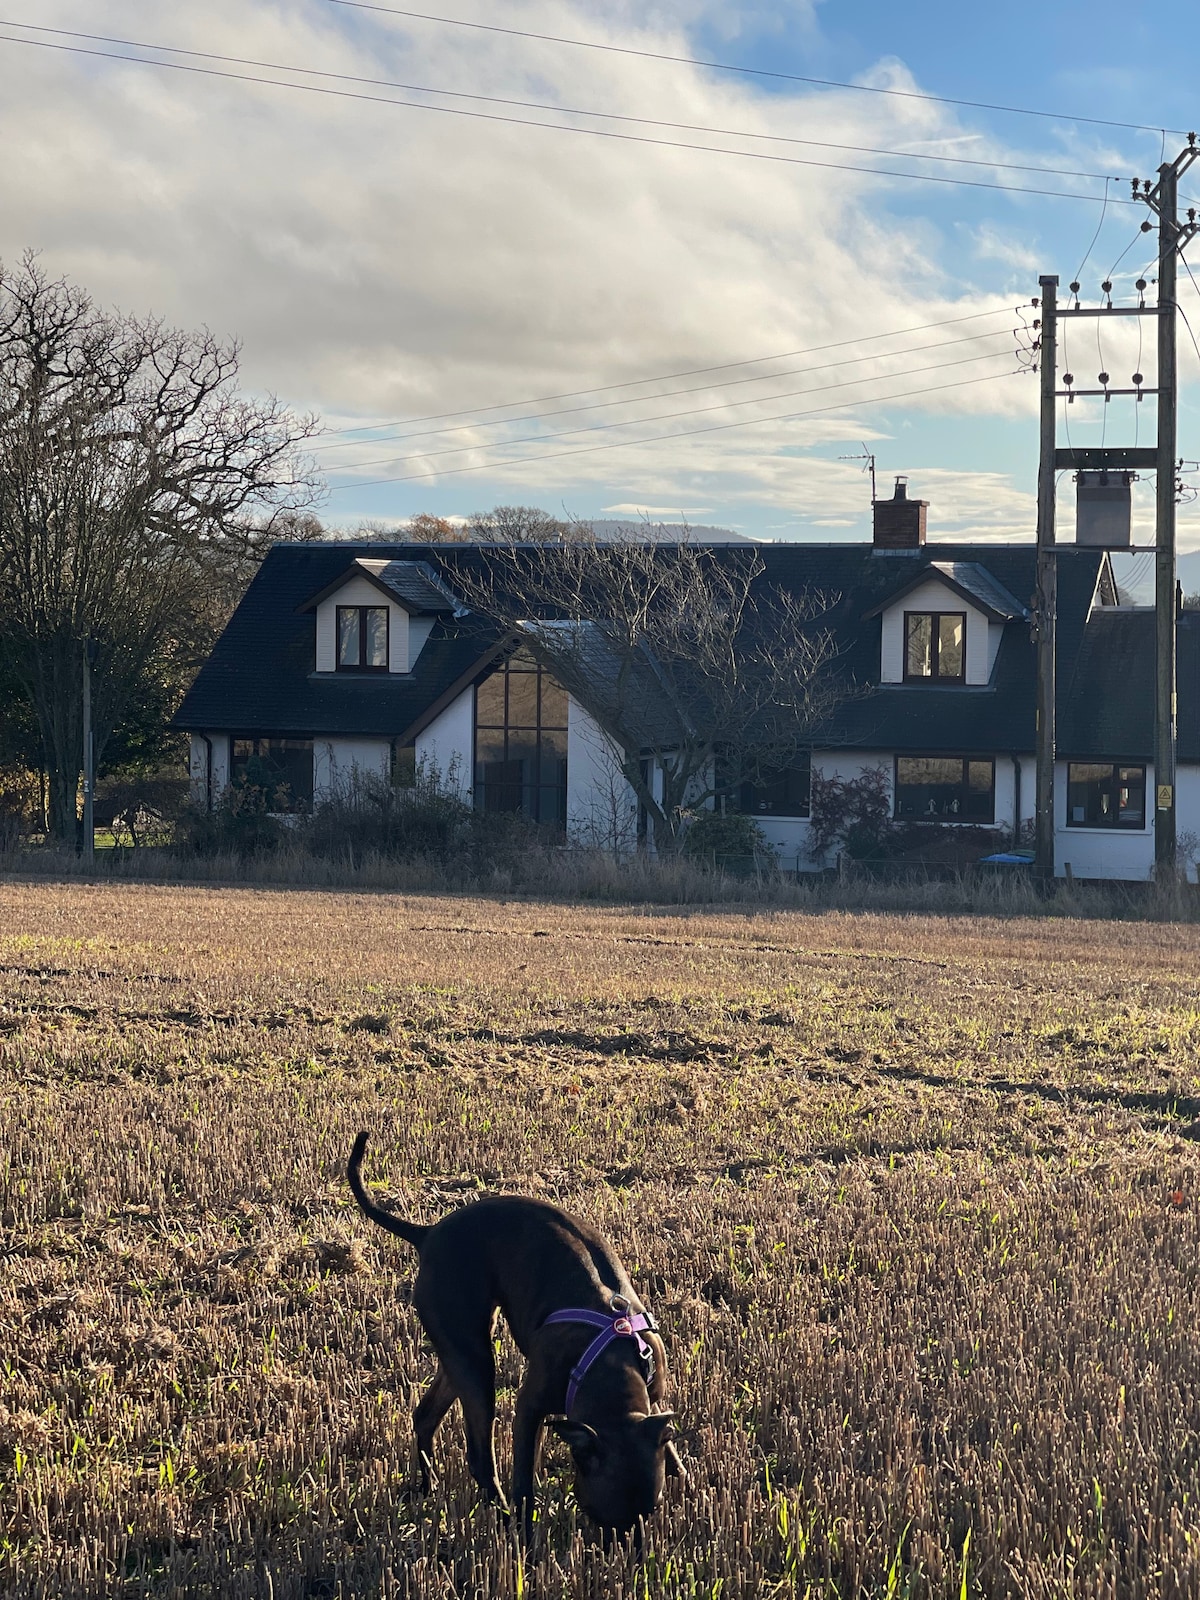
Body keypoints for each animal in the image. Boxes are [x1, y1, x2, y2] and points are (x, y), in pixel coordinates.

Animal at [352, 1132, 681, 1529]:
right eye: (602, 1518)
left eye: (652, 1509)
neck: (611, 1358)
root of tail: (428, 1234)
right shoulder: (530, 1409)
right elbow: (524, 1480)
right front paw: (524, 1530)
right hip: (475, 1364)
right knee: (480, 1457)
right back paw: (501, 1512)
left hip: (460, 1356)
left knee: (425, 1415)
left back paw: (427, 1486)